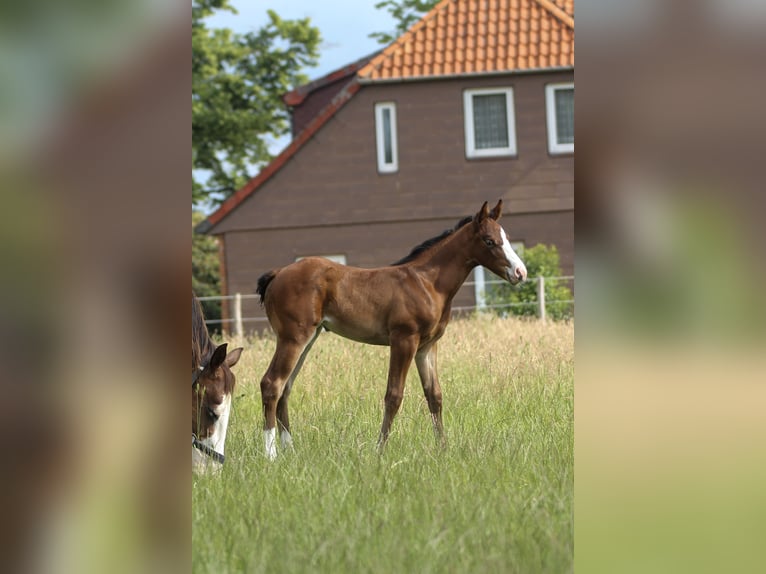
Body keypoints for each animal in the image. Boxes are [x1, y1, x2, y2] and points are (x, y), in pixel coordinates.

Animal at [255, 200, 526, 460]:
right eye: (489, 241)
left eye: (506, 237)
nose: (520, 272)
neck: (427, 283)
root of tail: (278, 274)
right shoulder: (404, 339)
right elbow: (394, 395)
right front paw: (379, 451)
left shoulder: (427, 346)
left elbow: (434, 396)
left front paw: (443, 449)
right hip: (293, 338)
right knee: (272, 383)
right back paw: (271, 455)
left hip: (308, 338)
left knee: (286, 387)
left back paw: (290, 451)